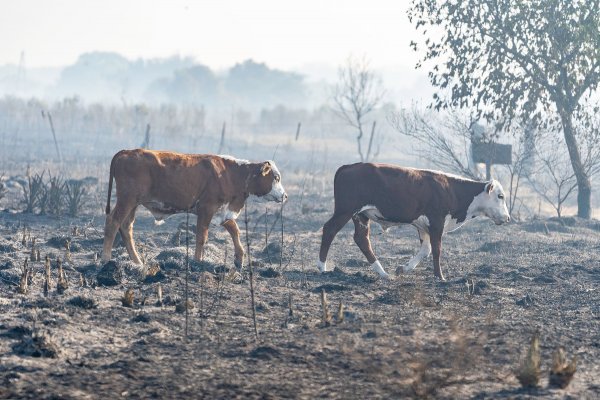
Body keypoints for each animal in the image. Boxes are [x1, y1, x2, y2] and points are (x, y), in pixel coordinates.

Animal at [102, 148, 288, 268]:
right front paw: (197, 261)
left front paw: (239, 259)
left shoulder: (221, 211)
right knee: (113, 222)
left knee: (126, 227)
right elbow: (201, 237)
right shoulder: (206, 208)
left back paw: (137, 262)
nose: (285, 196)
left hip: (133, 203)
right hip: (127, 199)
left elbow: (234, 230)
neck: (231, 174)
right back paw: (106, 259)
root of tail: (126, 152)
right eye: (276, 178)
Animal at [316, 162, 508, 282]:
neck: (451, 190)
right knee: (329, 230)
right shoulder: (436, 222)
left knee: (362, 239)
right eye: (500, 196)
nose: (507, 218)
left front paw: (404, 268)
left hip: (361, 215)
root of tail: (349, 166)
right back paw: (322, 267)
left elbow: (426, 250)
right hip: (345, 210)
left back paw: (383, 273)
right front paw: (440, 276)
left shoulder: (422, 226)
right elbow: (437, 250)